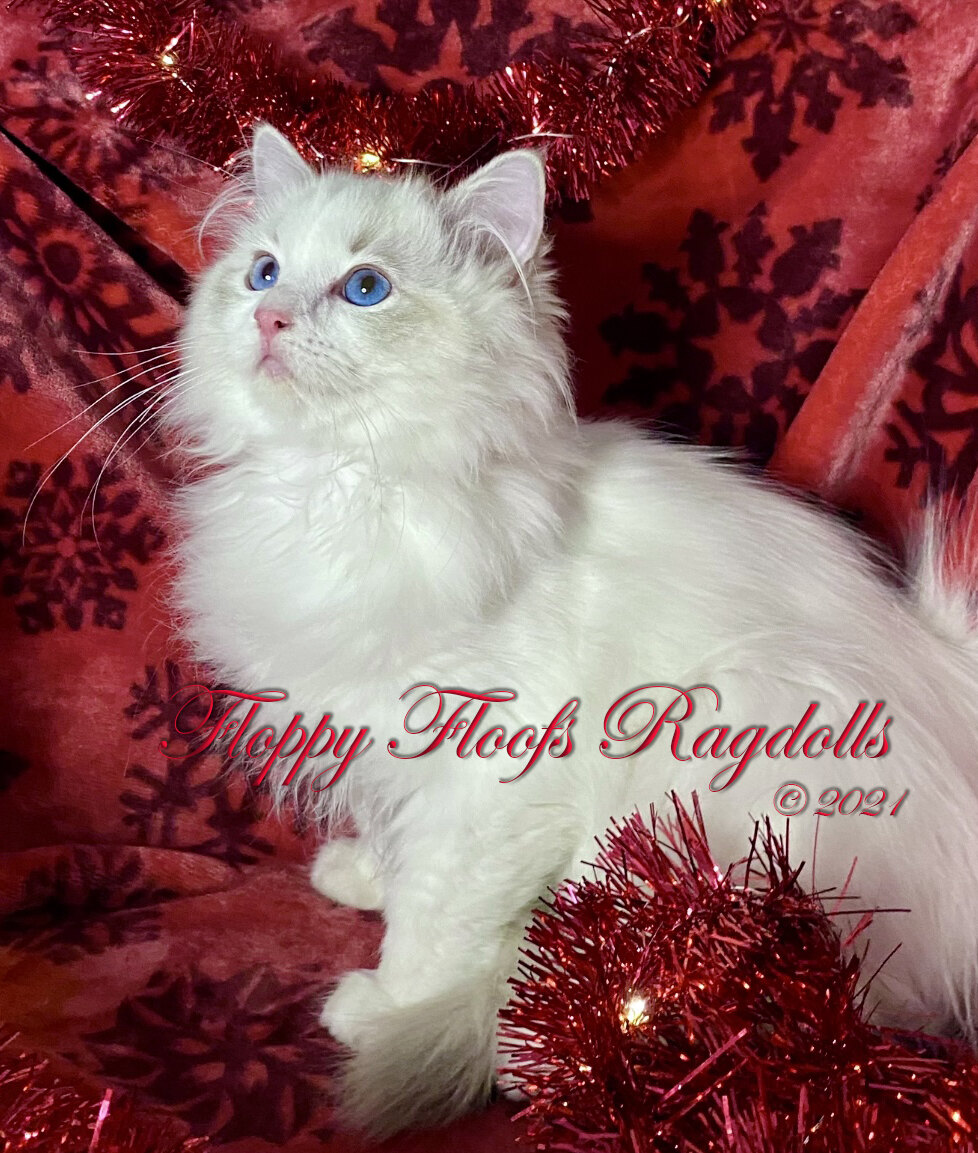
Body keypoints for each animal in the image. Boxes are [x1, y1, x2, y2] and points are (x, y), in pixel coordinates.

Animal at [165, 122, 978, 1138]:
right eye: (263, 272)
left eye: (366, 288)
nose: (269, 318)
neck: (342, 487)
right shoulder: (384, 732)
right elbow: (400, 845)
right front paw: (366, 877)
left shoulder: (493, 772)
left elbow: (437, 910)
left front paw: (391, 1000)